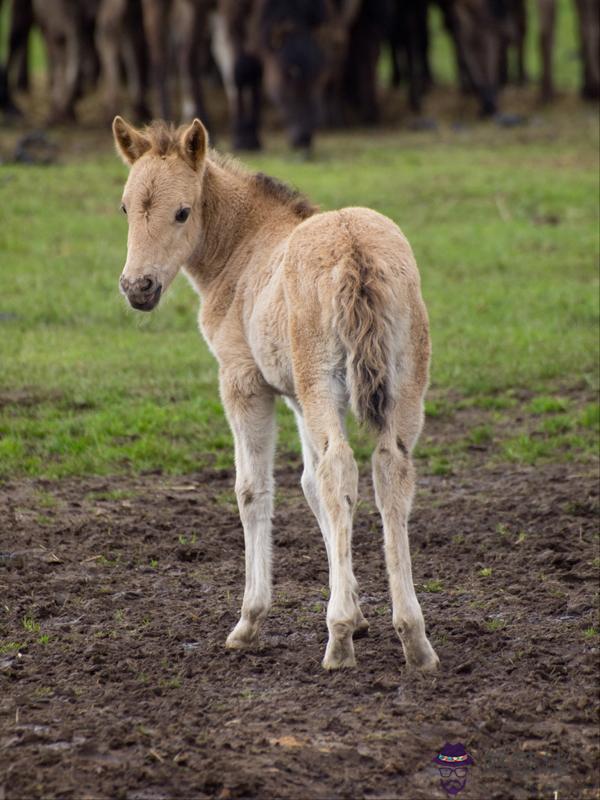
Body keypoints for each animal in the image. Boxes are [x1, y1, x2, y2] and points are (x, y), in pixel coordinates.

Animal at [113, 115, 440, 672]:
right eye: (126, 207)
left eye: (182, 212)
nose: (139, 288)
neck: (244, 250)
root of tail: (355, 252)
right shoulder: (297, 398)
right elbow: (311, 486)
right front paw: (358, 610)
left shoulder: (243, 382)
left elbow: (253, 490)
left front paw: (251, 621)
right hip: (398, 384)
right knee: (387, 470)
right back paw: (414, 640)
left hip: (321, 382)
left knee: (341, 467)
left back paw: (338, 643)